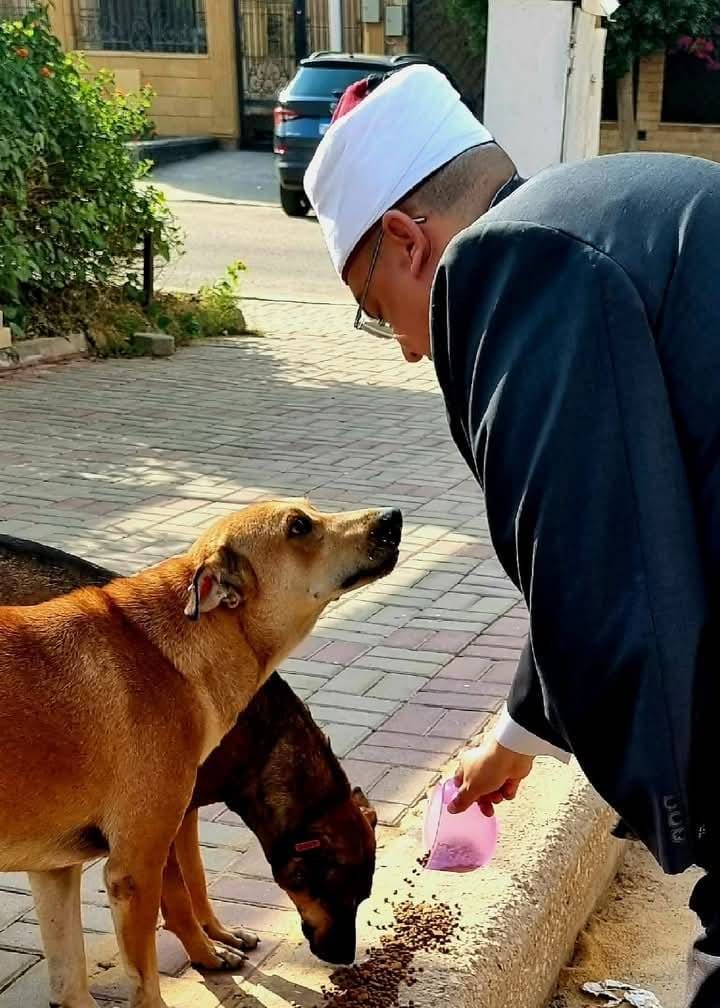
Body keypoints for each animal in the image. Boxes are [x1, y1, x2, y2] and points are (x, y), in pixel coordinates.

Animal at [0, 501, 401, 1008]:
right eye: (299, 526)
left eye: (365, 893)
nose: (393, 518)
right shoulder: (138, 864)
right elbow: (168, 922)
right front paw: (205, 952)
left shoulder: (59, 869)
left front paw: (217, 940)